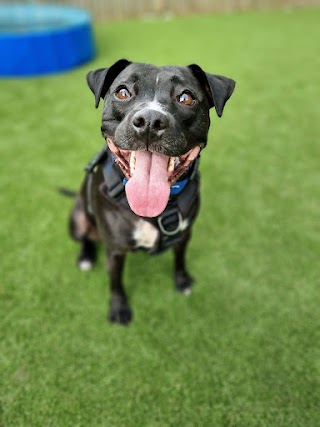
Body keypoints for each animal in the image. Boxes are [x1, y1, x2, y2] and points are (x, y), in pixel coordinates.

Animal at [68, 60, 235, 326]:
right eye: (122, 92)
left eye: (186, 97)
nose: (149, 120)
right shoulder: (114, 250)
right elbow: (116, 283)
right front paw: (119, 309)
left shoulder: (185, 235)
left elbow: (180, 260)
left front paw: (182, 281)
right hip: (77, 218)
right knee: (85, 237)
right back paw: (86, 257)